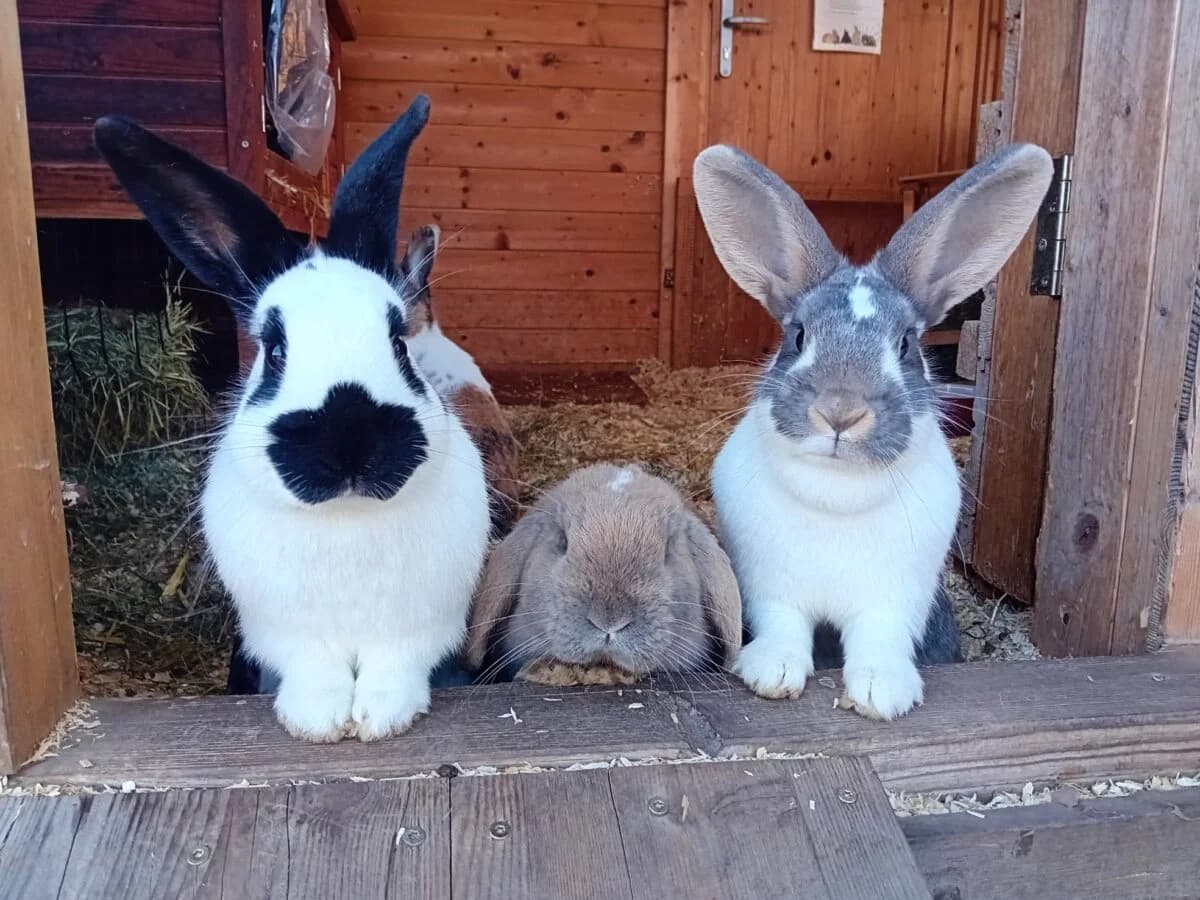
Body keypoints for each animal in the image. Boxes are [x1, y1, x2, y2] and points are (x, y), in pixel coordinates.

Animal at [94, 95, 491, 742]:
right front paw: (316, 722)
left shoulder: (423, 625)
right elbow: (314, 668)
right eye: (273, 349)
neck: (347, 517)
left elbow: (395, 664)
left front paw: (383, 719)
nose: (350, 438)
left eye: (398, 341)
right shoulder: (280, 630)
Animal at [693, 142, 1051, 720]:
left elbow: (879, 640)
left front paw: (883, 694)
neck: (836, 489)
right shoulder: (771, 587)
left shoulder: (894, 599)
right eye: (797, 335)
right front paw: (773, 673)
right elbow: (783, 627)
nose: (840, 411)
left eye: (905, 344)